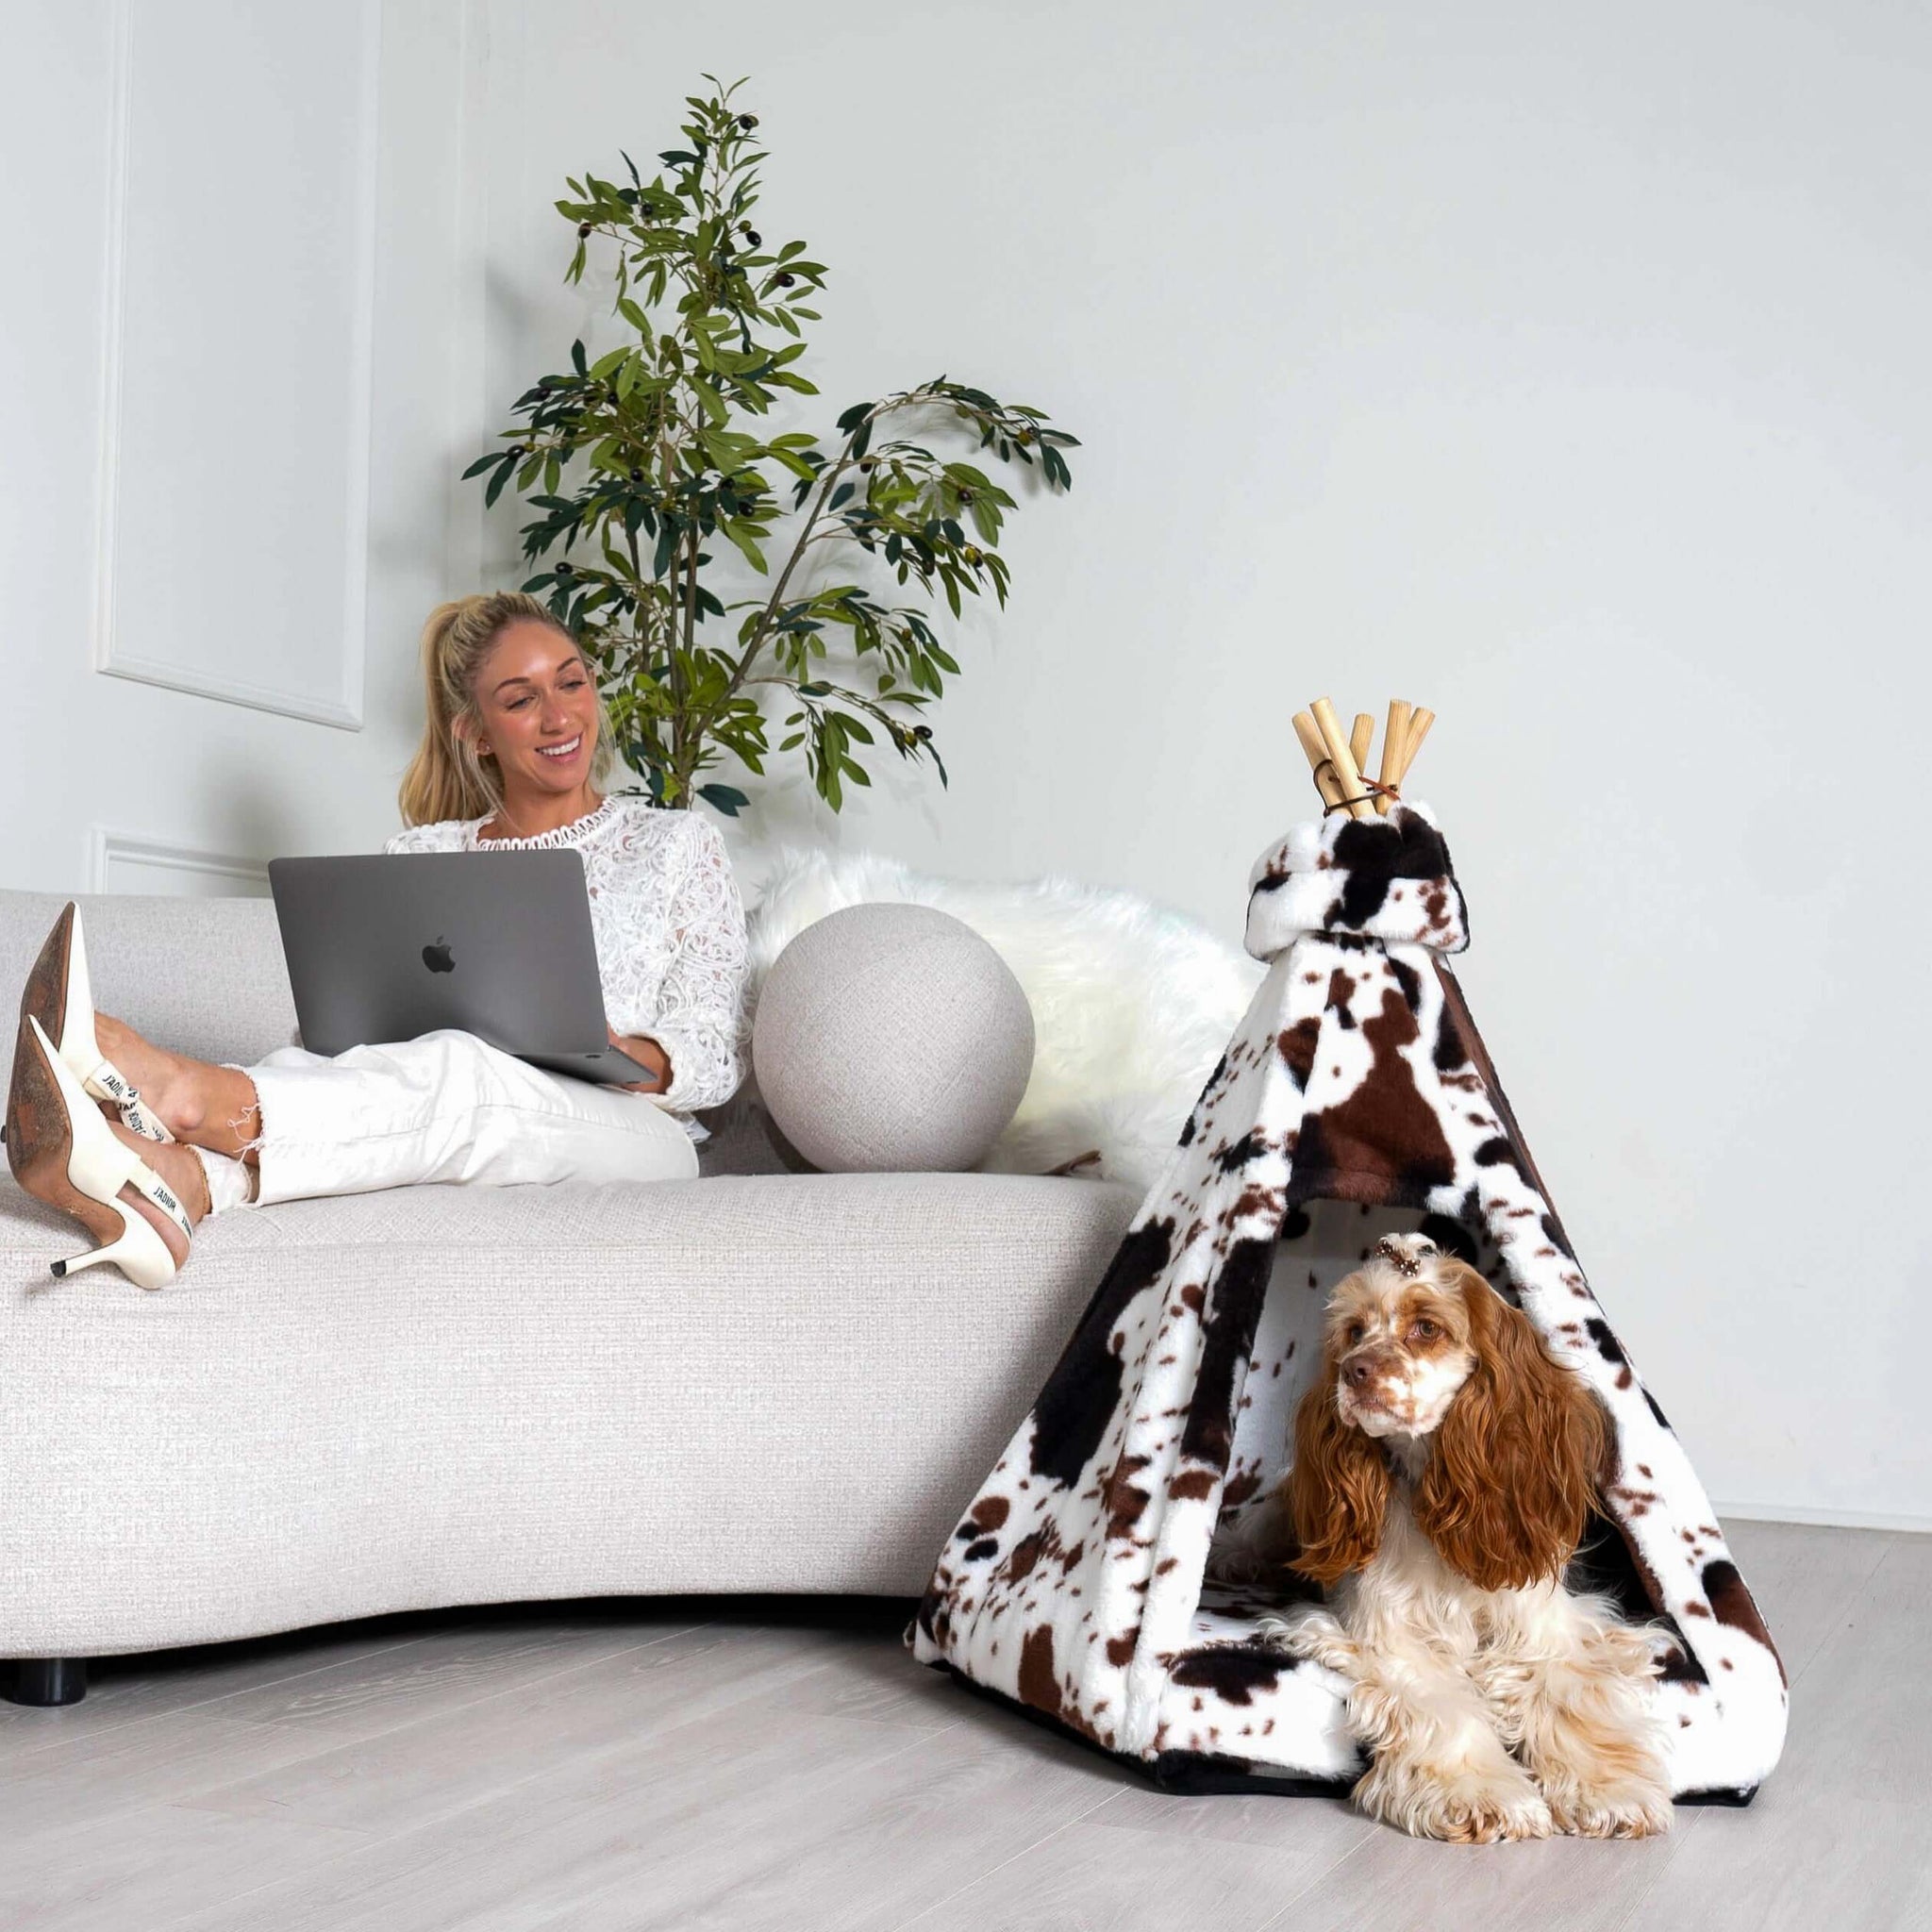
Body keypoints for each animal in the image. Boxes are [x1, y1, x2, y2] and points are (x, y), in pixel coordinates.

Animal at [1243, 1228, 1669, 1846]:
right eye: (1354, 1331)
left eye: (1426, 1327)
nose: (1354, 1370)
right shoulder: (1391, 1636)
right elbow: (1446, 1708)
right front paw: (1485, 1796)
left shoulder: (1545, 1629)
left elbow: (1568, 1698)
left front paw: (1611, 1792)